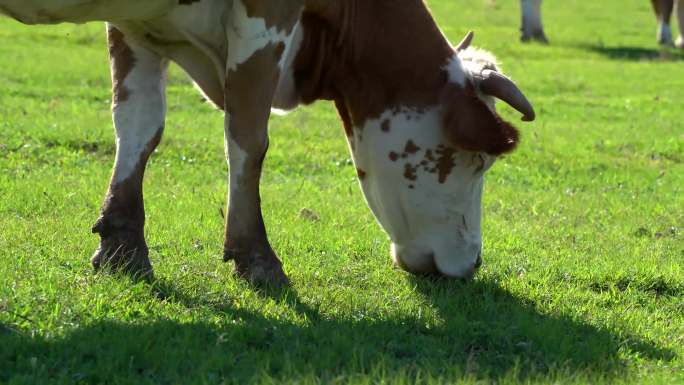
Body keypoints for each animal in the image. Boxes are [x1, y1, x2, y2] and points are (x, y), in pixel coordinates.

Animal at [0, 0, 536, 284]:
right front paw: (254, 254)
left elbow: (139, 126)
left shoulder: (138, 23)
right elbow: (247, 138)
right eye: (479, 161)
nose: (474, 261)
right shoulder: (265, 20)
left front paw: (123, 244)